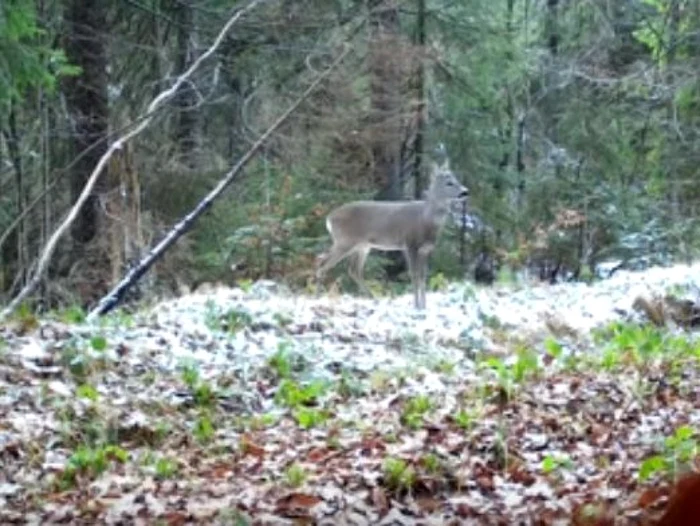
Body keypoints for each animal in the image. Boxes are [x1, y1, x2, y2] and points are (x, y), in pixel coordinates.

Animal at [316, 161, 468, 310]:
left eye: (456, 179)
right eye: (449, 182)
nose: (465, 192)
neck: (426, 219)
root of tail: (329, 218)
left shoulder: (426, 249)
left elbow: (423, 275)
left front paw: (424, 306)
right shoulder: (410, 243)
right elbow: (414, 274)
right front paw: (417, 306)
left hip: (362, 246)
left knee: (353, 270)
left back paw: (373, 298)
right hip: (345, 241)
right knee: (323, 263)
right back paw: (318, 297)